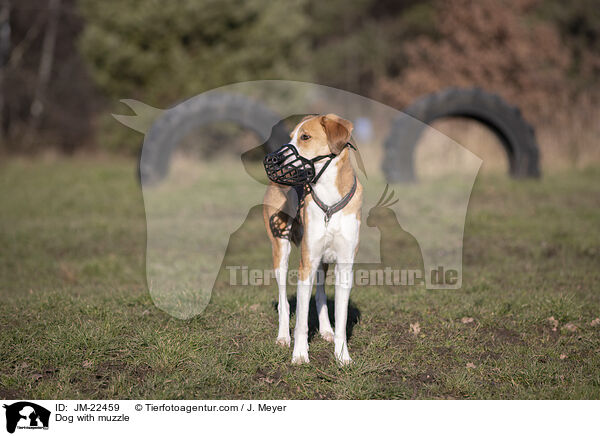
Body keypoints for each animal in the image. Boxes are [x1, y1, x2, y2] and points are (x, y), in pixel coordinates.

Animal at [262, 113, 360, 364]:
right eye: (291, 137)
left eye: (305, 137)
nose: (273, 159)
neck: (329, 201)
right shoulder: (305, 264)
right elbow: (302, 322)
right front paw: (299, 354)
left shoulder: (345, 266)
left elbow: (341, 319)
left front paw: (342, 356)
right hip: (281, 253)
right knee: (284, 303)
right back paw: (283, 337)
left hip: (322, 263)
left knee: (320, 296)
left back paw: (326, 330)